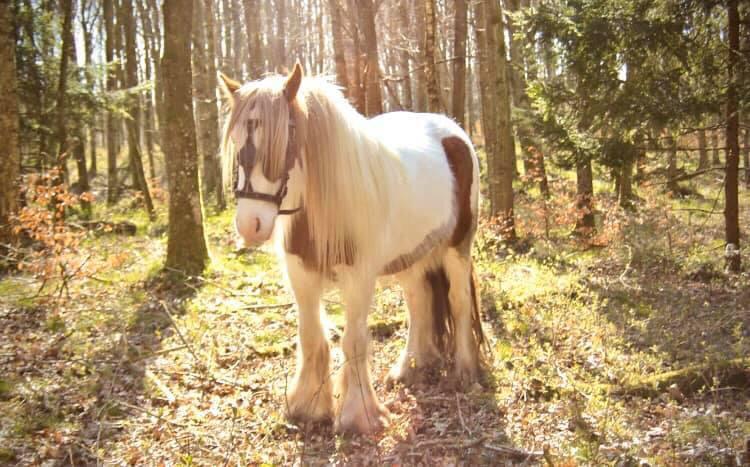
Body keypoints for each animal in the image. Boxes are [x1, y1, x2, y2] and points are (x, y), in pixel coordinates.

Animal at [219, 63, 488, 436]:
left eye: (283, 142)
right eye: (237, 143)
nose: (250, 224)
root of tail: (453, 131)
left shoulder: (359, 279)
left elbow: (354, 341)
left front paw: (360, 415)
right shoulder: (301, 276)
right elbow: (311, 337)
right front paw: (307, 406)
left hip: (457, 247)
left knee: (458, 301)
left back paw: (464, 371)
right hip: (413, 254)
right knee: (419, 301)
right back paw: (409, 367)